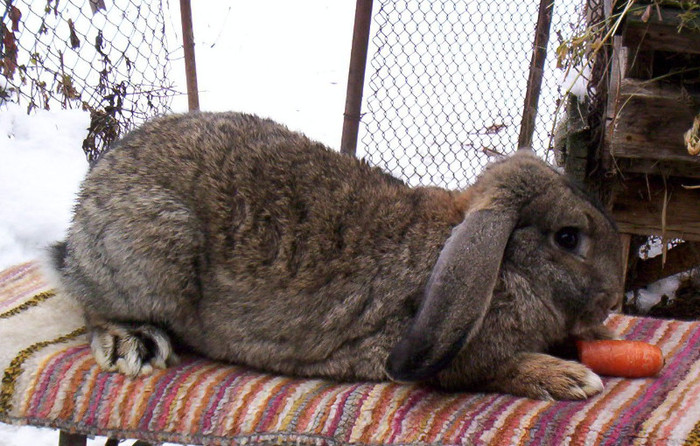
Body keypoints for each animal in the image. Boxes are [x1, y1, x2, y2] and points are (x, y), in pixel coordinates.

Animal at [50, 111, 624, 400]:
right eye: (568, 238)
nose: (611, 298)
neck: (504, 263)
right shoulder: (449, 356)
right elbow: (495, 369)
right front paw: (572, 378)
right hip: (154, 250)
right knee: (92, 304)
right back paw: (131, 343)